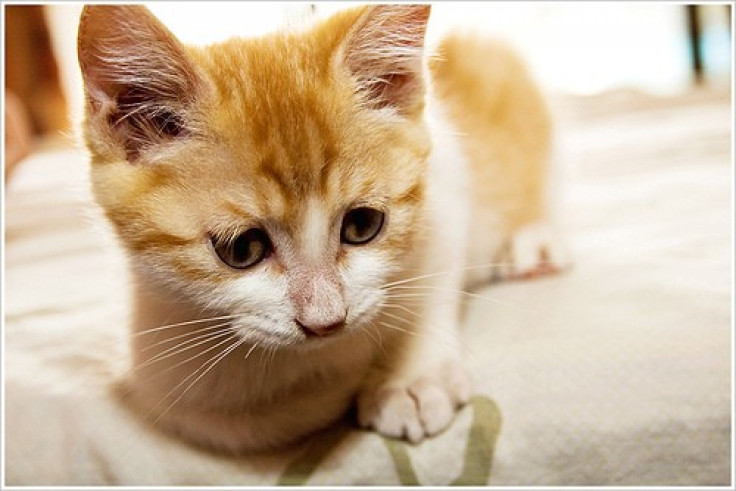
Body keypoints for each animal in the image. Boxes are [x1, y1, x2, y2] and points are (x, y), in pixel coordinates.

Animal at [79, 3, 564, 454]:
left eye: (363, 224)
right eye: (241, 249)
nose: (326, 323)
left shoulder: (447, 190)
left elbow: (434, 281)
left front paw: (409, 376)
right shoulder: (154, 364)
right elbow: (223, 420)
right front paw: (345, 382)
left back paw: (536, 243)